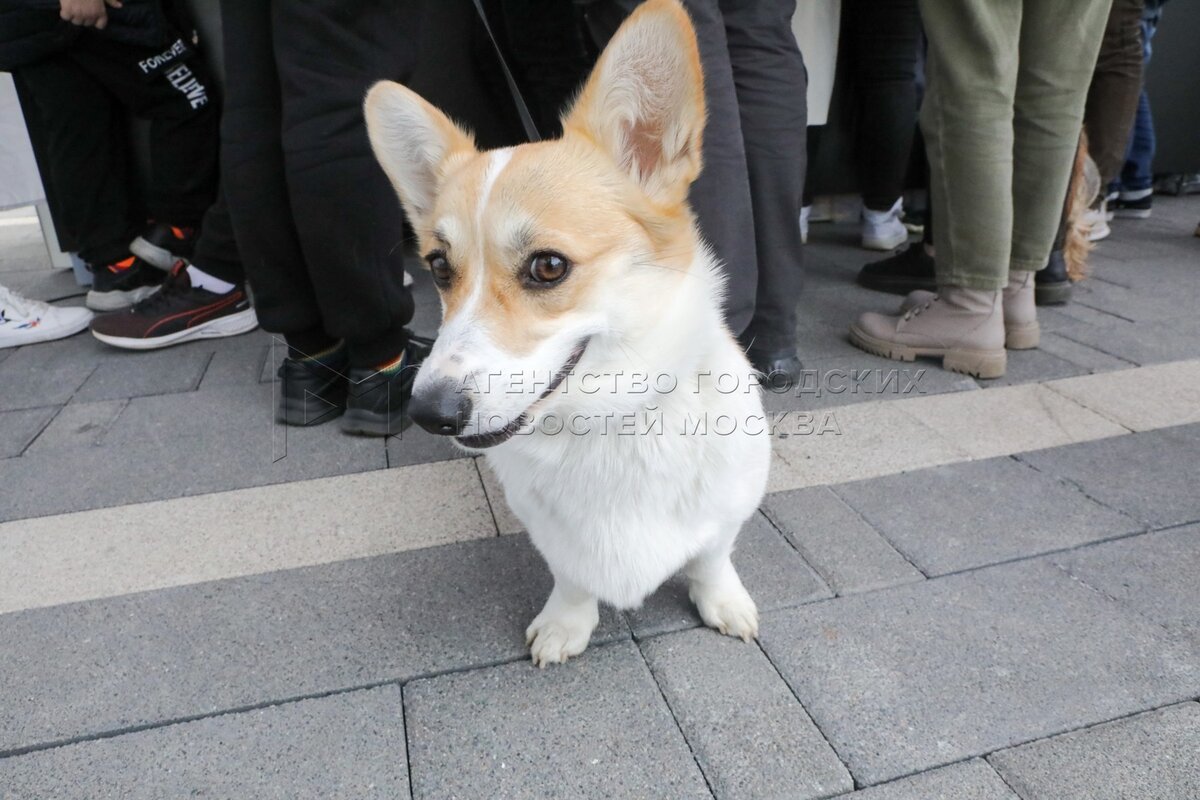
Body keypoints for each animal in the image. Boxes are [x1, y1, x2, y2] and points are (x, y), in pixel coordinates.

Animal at [364, 0, 768, 671]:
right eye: (439, 268)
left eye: (548, 267)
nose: (429, 413)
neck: (609, 421)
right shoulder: (550, 532)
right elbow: (572, 575)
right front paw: (566, 625)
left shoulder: (730, 506)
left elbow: (713, 556)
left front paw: (723, 603)